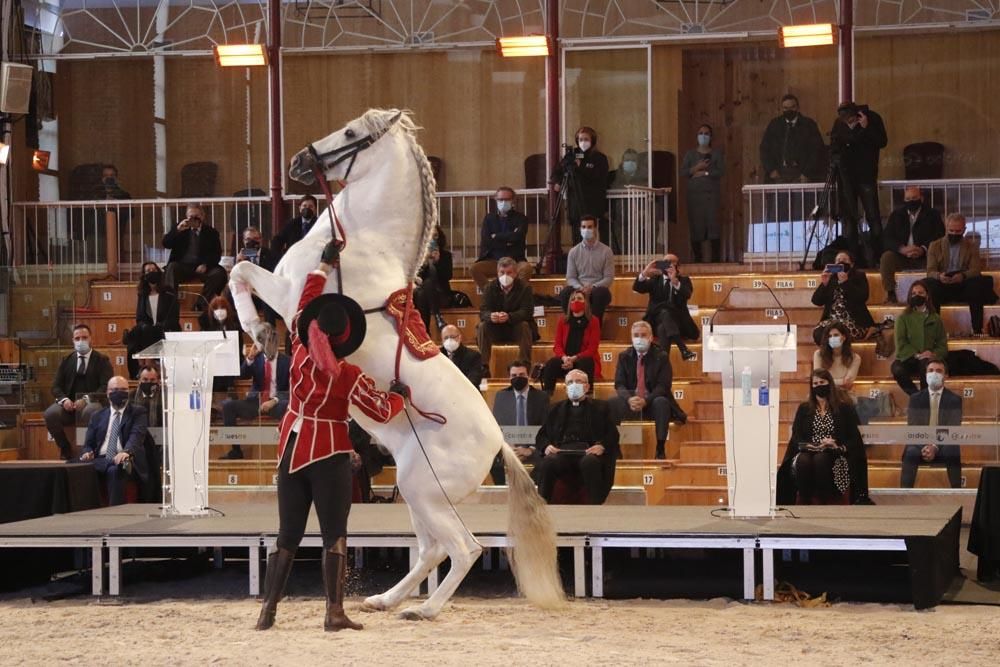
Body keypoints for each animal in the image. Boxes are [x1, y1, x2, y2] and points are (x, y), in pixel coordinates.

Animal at [229, 109, 568, 620]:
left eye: (351, 132)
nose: (298, 162)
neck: (358, 242)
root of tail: (498, 445)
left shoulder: (290, 296)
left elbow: (240, 271)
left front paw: (259, 333)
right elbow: (238, 270)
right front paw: (262, 337)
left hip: (423, 490)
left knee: (464, 548)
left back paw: (423, 609)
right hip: (416, 491)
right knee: (432, 549)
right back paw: (384, 600)